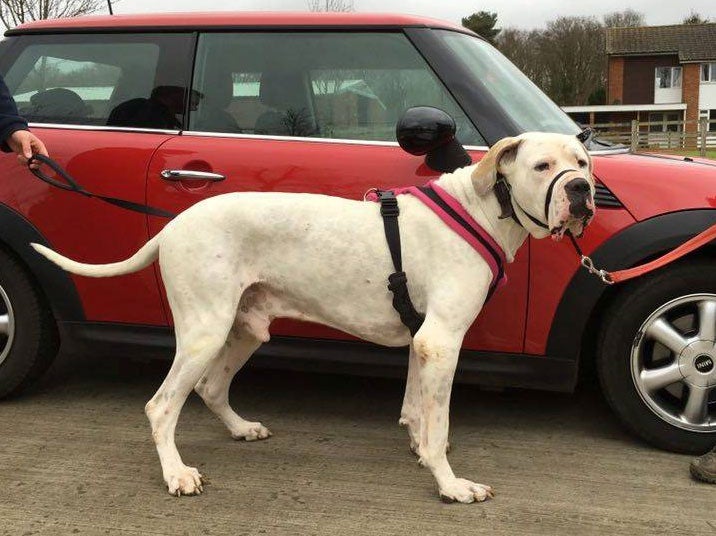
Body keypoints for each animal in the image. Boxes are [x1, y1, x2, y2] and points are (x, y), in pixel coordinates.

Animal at [32, 133, 592, 502]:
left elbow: (416, 411)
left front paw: (418, 447)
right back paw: (177, 474)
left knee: (210, 388)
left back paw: (241, 429)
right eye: (542, 166)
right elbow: (439, 425)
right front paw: (451, 484)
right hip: (204, 331)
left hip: (244, 329)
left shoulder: (422, 341)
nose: (583, 190)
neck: (479, 208)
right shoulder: (442, 342)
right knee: (161, 405)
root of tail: (172, 227)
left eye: (583, 162)